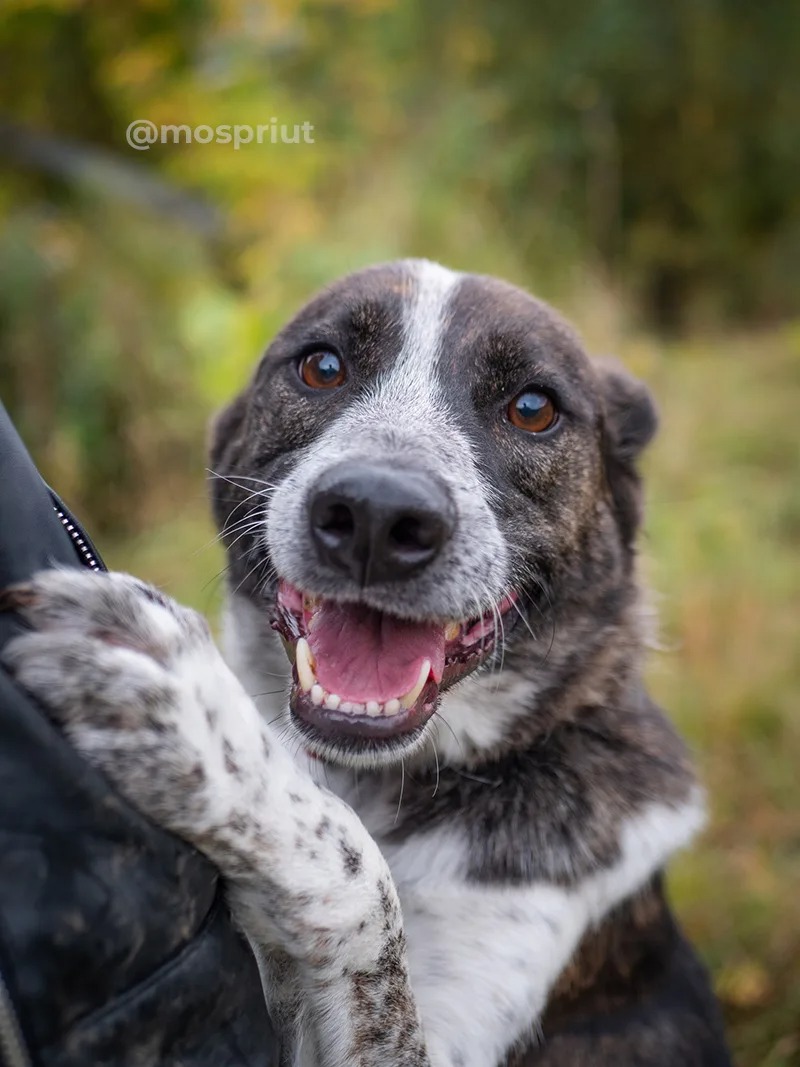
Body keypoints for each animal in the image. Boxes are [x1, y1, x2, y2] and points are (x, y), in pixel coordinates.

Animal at [4, 260, 733, 1067]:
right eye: (321, 367)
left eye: (533, 406)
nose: (377, 516)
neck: (380, 779)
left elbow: (359, 877)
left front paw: (203, 726)